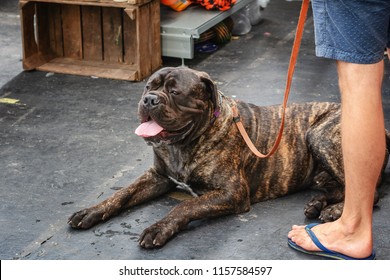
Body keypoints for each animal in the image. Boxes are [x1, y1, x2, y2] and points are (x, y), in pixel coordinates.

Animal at [68, 66, 388, 248]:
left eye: (175, 91)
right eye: (149, 86)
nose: (149, 99)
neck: (184, 143)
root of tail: (382, 128)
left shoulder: (231, 192)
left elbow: (184, 206)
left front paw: (159, 228)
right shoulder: (158, 176)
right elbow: (122, 193)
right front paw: (91, 211)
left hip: (319, 135)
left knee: (369, 192)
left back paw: (333, 212)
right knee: (340, 186)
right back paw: (319, 204)